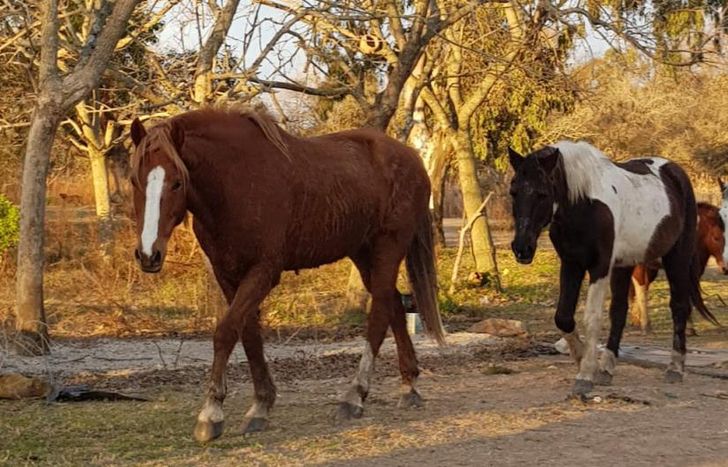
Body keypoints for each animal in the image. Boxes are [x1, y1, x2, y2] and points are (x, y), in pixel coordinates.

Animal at [128, 107, 445, 442]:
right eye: (135, 180)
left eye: (177, 182)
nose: (149, 254)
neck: (238, 182)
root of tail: (411, 156)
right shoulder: (228, 275)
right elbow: (248, 334)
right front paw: (261, 405)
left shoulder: (264, 272)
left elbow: (226, 332)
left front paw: (211, 413)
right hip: (363, 253)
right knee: (394, 305)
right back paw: (409, 386)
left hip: (388, 248)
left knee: (380, 314)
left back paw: (354, 395)